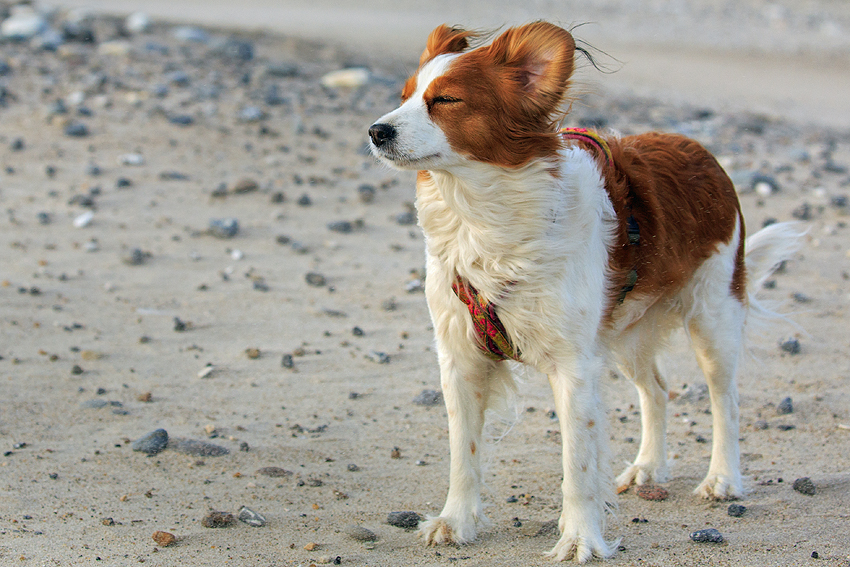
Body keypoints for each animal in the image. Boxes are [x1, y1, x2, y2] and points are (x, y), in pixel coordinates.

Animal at [368, 22, 800, 564]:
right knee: (657, 389)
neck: (483, 221)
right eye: (403, 96)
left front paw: (580, 538)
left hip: (713, 318)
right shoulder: (461, 359)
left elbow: (577, 464)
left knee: (726, 400)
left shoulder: (575, 367)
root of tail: (702, 153)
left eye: (445, 100)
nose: (376, 131)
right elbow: (463, 452)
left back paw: (722, 477)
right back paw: (648, 467)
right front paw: (456, 521)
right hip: (626, 335)